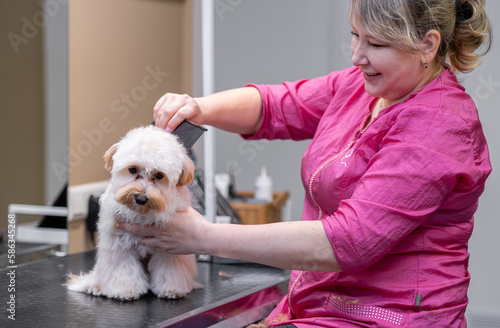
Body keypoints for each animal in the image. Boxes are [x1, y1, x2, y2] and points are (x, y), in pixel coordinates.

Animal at [67, 125, 202, 300]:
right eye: (132, 169)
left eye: (159, 175)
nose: (141, 198)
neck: (141, 213)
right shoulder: (118, 243)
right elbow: (123, 268)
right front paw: (125, 290)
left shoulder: (171, 248)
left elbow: (169, 269)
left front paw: (171, 289)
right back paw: (95, 286)